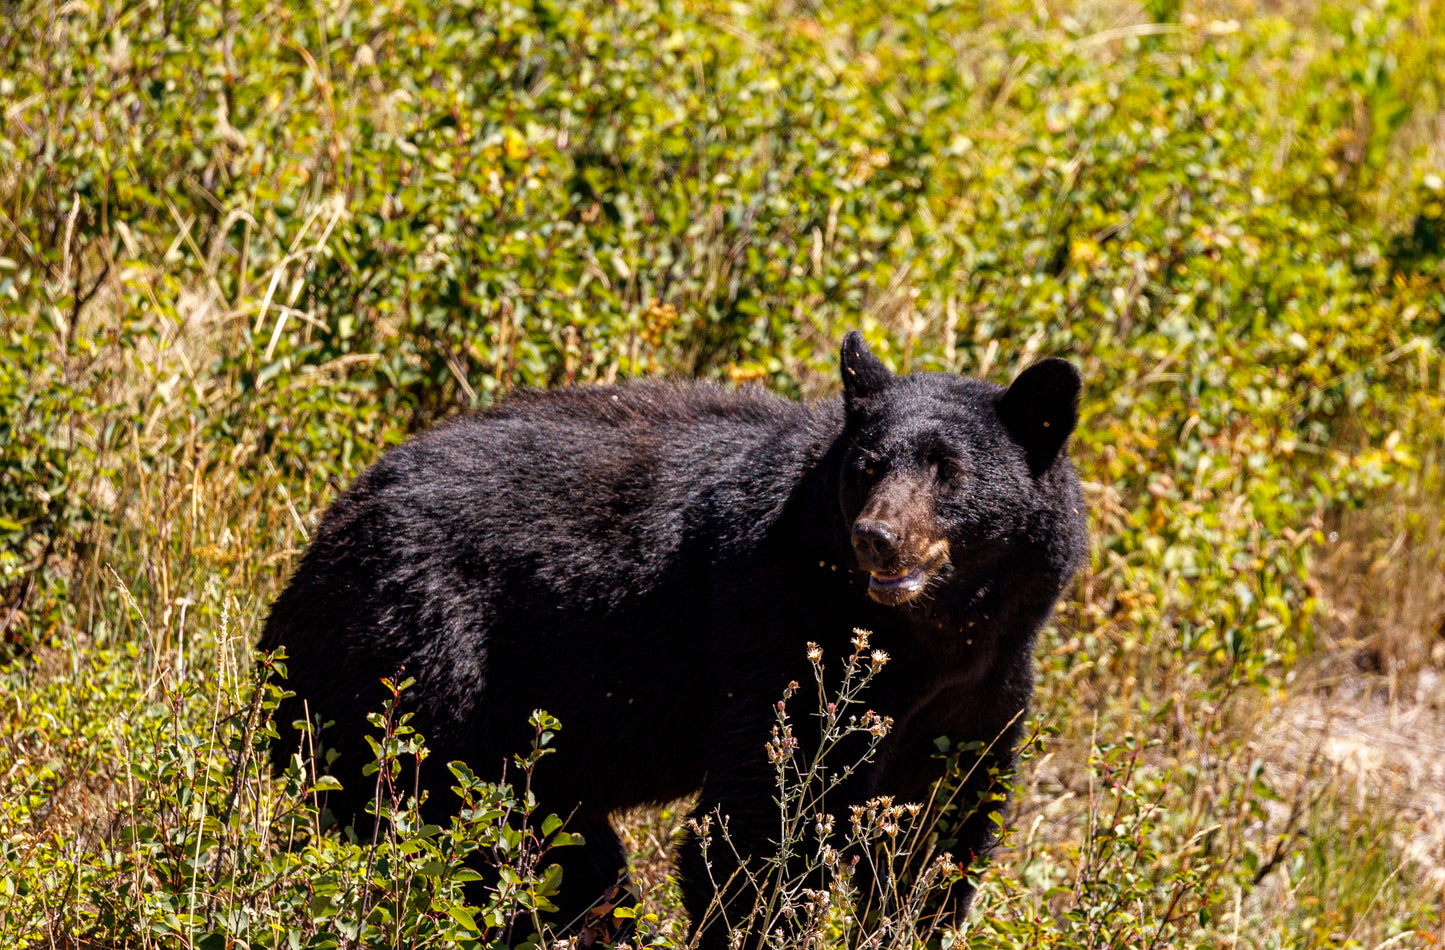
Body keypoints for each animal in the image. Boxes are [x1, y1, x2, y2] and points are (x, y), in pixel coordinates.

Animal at [257, 331, 1086, 942]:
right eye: (866, 465)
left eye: (948, 471)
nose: (876, 538)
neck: (929, 636)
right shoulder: (780, 625)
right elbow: (765, 817)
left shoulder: (985, 682)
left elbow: (938, 824)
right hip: (420, 676)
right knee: (480, 843)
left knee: (571, 868)